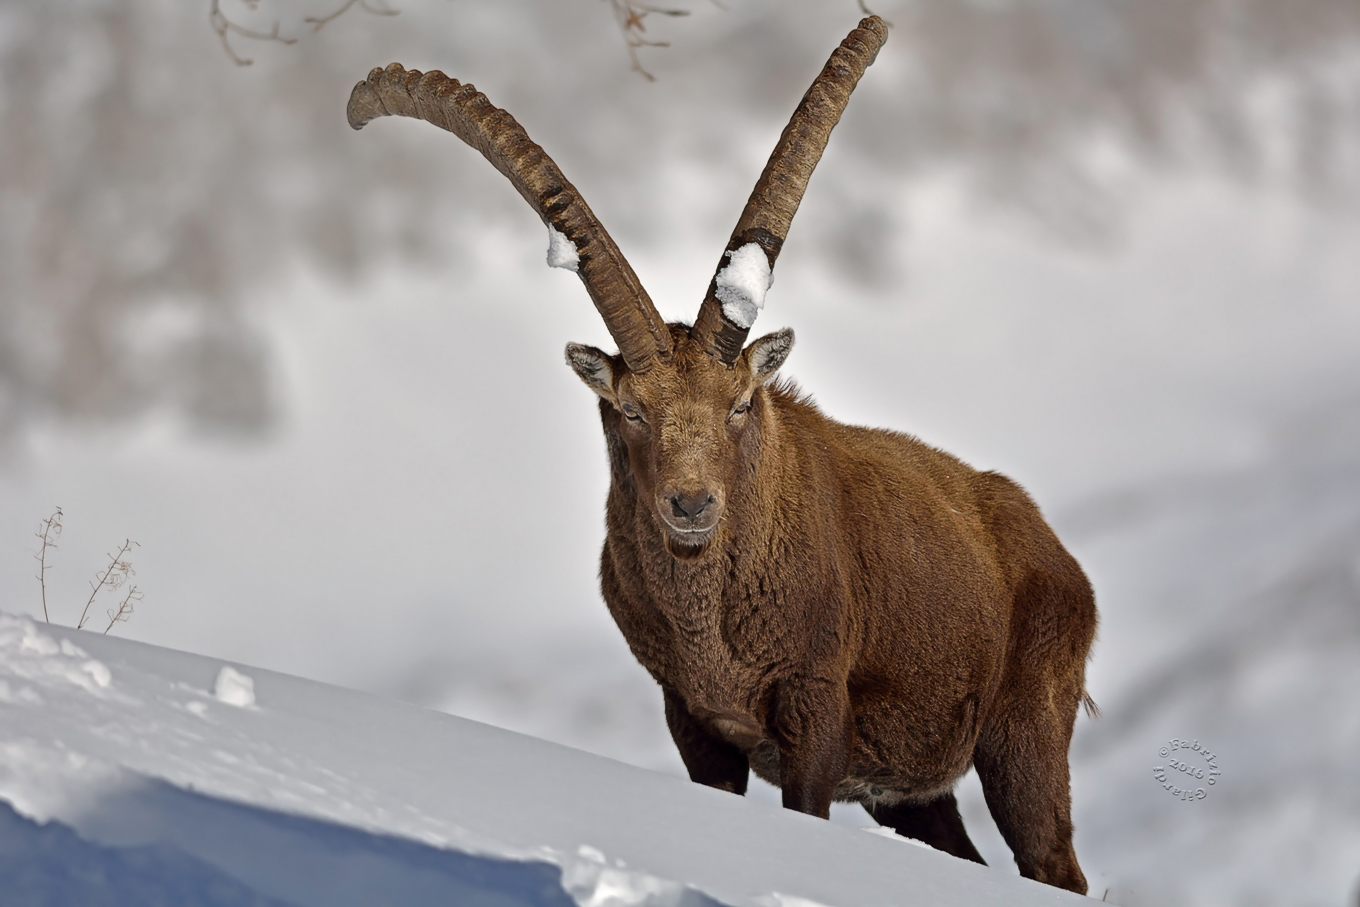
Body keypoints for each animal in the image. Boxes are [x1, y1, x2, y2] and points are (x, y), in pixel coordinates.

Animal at [347, 15, 1097, 894]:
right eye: (631, 409)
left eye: (739, 403)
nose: (692, 503)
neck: (712, 619)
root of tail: (1051, 549)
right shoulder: (695, 717)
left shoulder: (815, 706)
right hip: (911, 789)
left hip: (1025, 728)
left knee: (1053, 861)